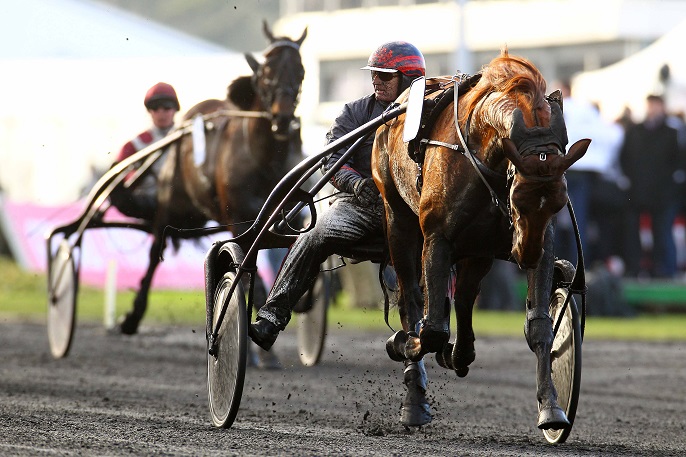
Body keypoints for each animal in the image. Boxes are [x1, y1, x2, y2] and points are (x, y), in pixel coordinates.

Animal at [119, 21, 308, 334]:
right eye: (267, 71)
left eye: (301, 70)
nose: (282, 118)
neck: (263, 158)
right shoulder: (239, 215)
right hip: (171, 201)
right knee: (154, 252)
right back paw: (133, 316)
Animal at [374, 51, 592, 430]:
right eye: (518, 197)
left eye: (558, 202)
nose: (524, 254)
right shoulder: (437, 237)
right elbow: (431, 328)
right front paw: (404, 344)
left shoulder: (536, 240)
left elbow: (539, 326)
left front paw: (551, 407)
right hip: (397, 219)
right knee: (410, 300)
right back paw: (414, 397)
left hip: (479, 250)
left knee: (463, 297)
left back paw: (459, 354)